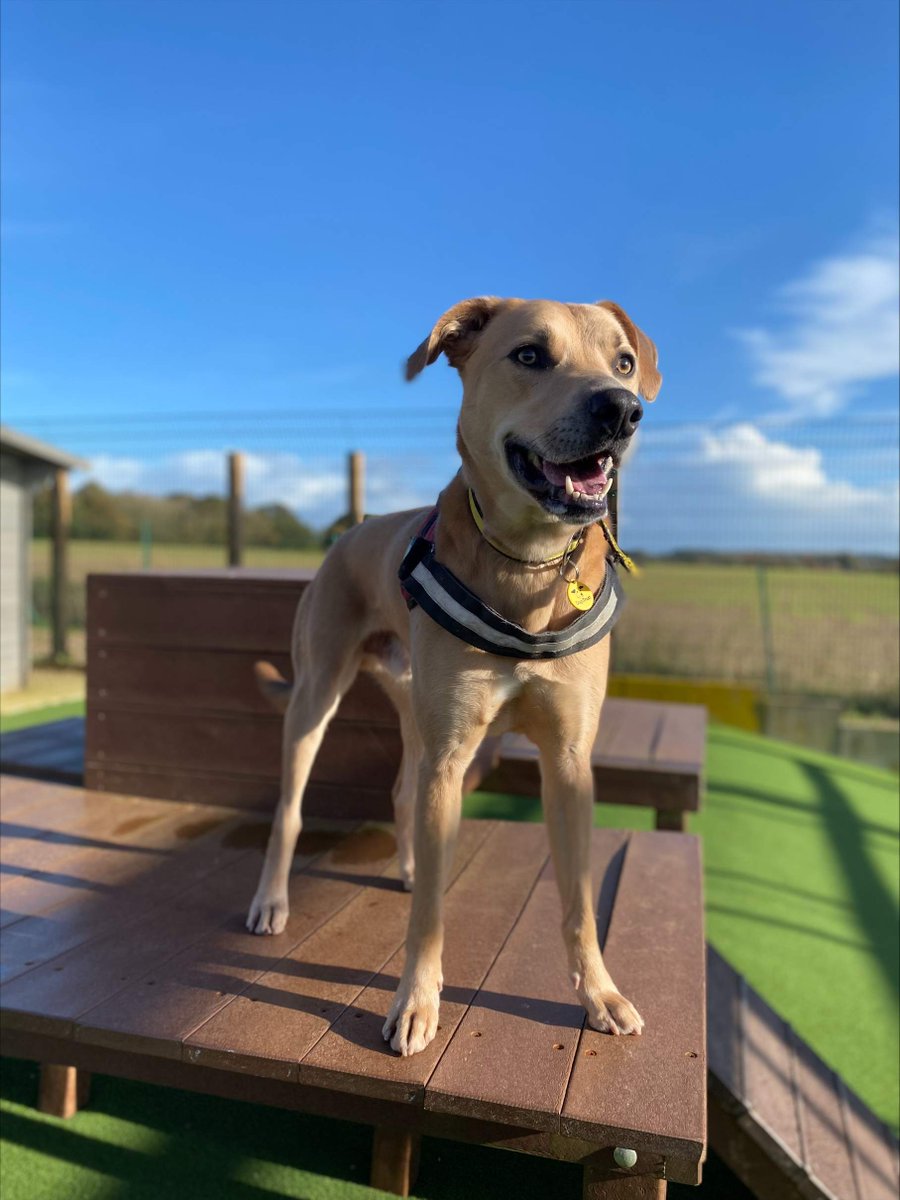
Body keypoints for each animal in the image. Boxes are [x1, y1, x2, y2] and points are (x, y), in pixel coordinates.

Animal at [247, 295, 662, 1056]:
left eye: (623, 361)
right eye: (530, 354)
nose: (622, 410)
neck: (528, 566)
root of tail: (353, 530)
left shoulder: (567, 762)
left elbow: (579, 901)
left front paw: (600, 993)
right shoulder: (451, 756)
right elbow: (431, 921)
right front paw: (416, 1002)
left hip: (414, 708)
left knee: (402, 792)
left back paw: (411, 865)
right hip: (316, 698)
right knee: (291, 809)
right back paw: (271, 899)